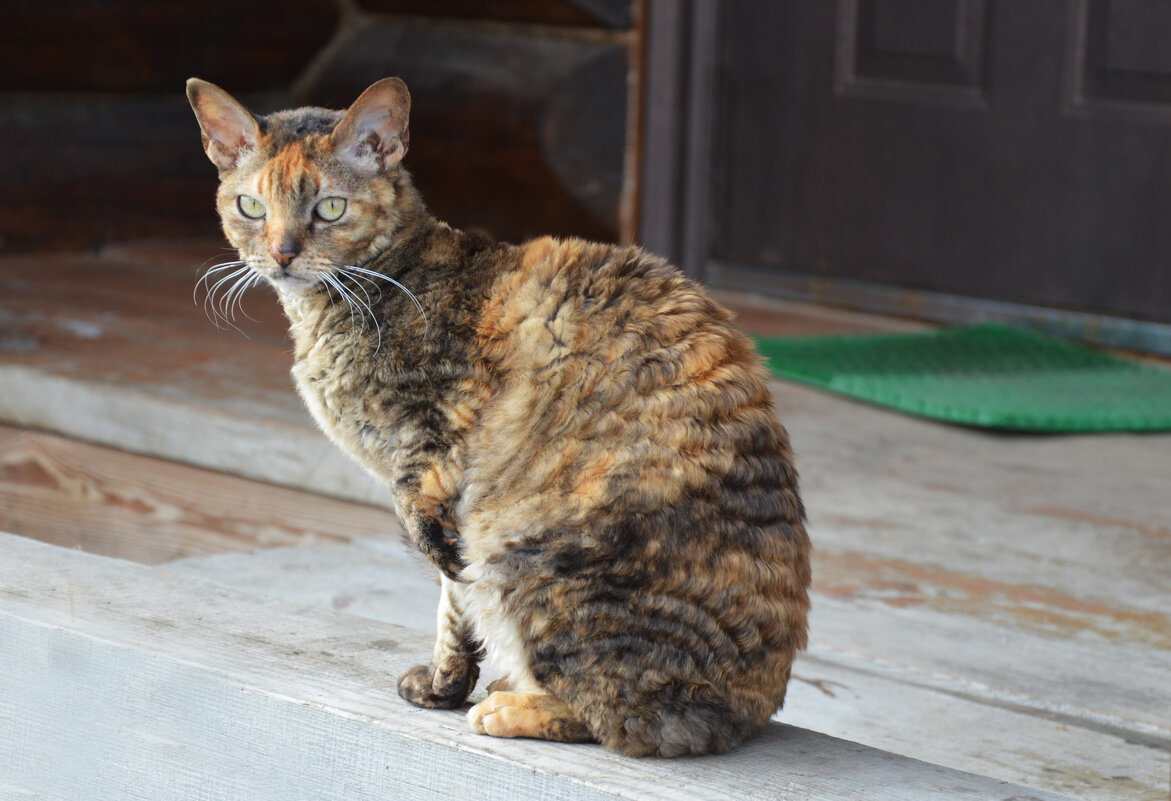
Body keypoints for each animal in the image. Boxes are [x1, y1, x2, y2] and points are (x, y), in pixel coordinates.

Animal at [187, 74, 810, 758]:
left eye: (328, 208)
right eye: (251, 207)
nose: (282, 254)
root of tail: (750, 713)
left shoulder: (437, 449)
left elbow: (442, 569)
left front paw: (453, 677)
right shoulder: (443, 487)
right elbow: (453, 603)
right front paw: (444, 684)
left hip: (526, 553)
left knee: (625, 722)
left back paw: (512, 706)